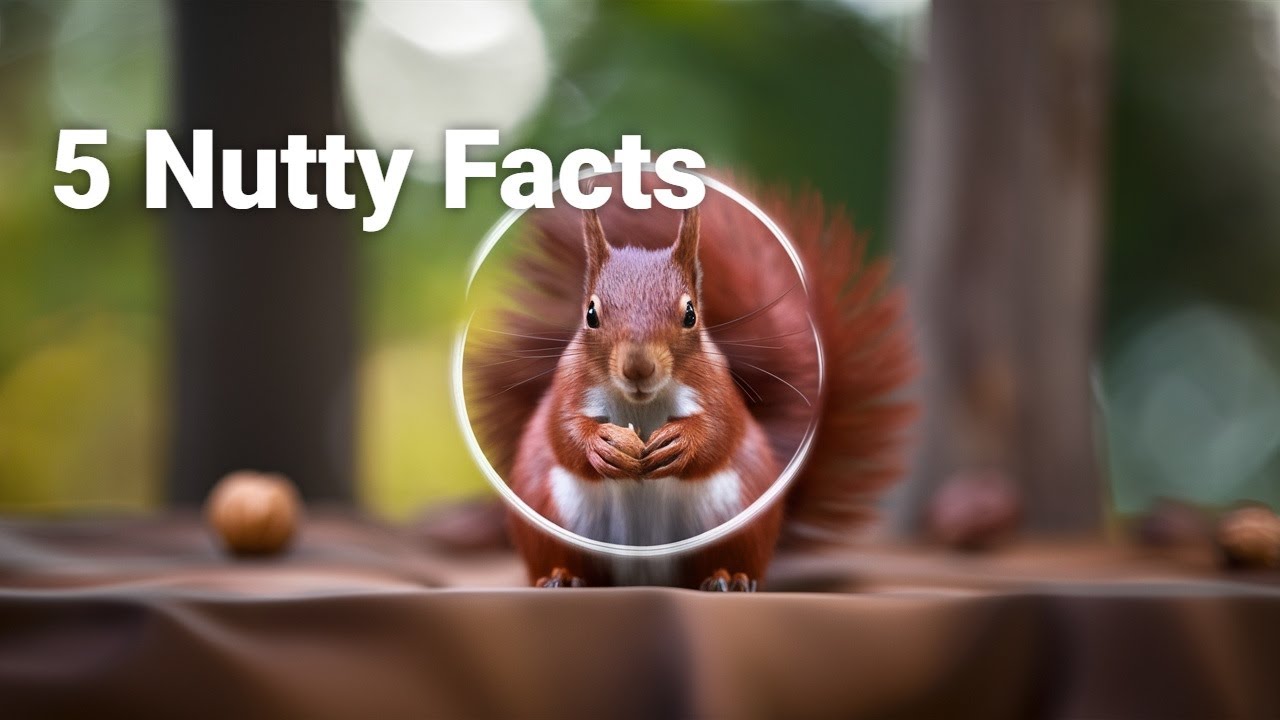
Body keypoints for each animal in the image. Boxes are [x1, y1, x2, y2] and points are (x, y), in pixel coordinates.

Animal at [467, 172, 915, 591]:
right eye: (591, 313)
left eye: (690, 313)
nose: (638, 368)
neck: (642, 405)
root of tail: (644, 579)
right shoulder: (568, 385)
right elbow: (561, 430)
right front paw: (604, 444)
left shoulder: (717, 386)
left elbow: (721, 430)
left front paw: (684, 442)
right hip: (553, 514)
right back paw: (563, 576)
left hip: (733, 515)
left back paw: (729, 577)